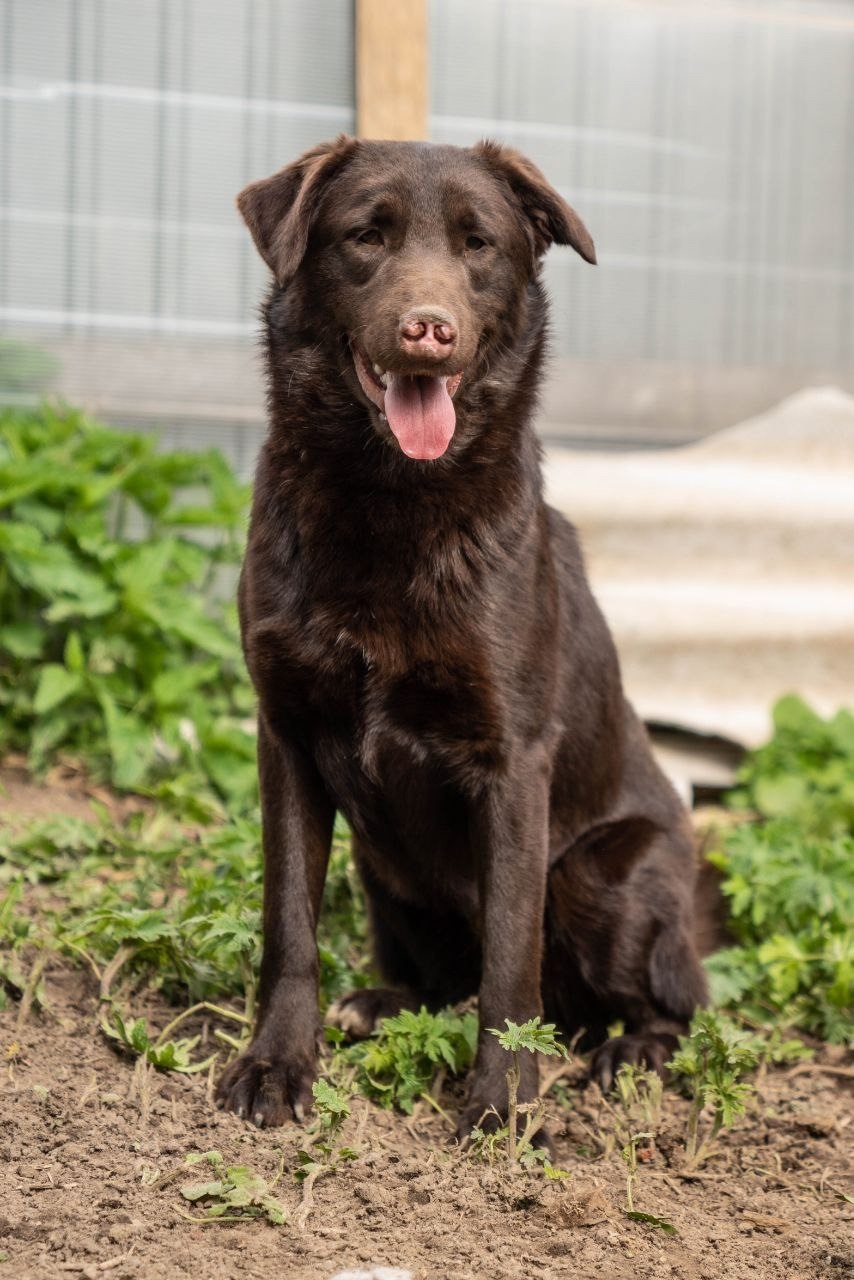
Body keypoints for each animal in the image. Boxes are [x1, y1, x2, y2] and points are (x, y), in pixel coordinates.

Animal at [215, 136, 708, 1133]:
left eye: (479, 244)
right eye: (367, 236)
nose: (428, 332)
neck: (390, 506)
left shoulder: (512, 760)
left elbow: (509, 959)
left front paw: (504, 1099)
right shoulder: (286, 735)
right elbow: (289, 925)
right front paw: (278, 1063)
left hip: (603, 871)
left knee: (662, 1009)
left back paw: (625, 1052)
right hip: (380, 862)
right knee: (441, 983)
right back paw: (379, 1004)